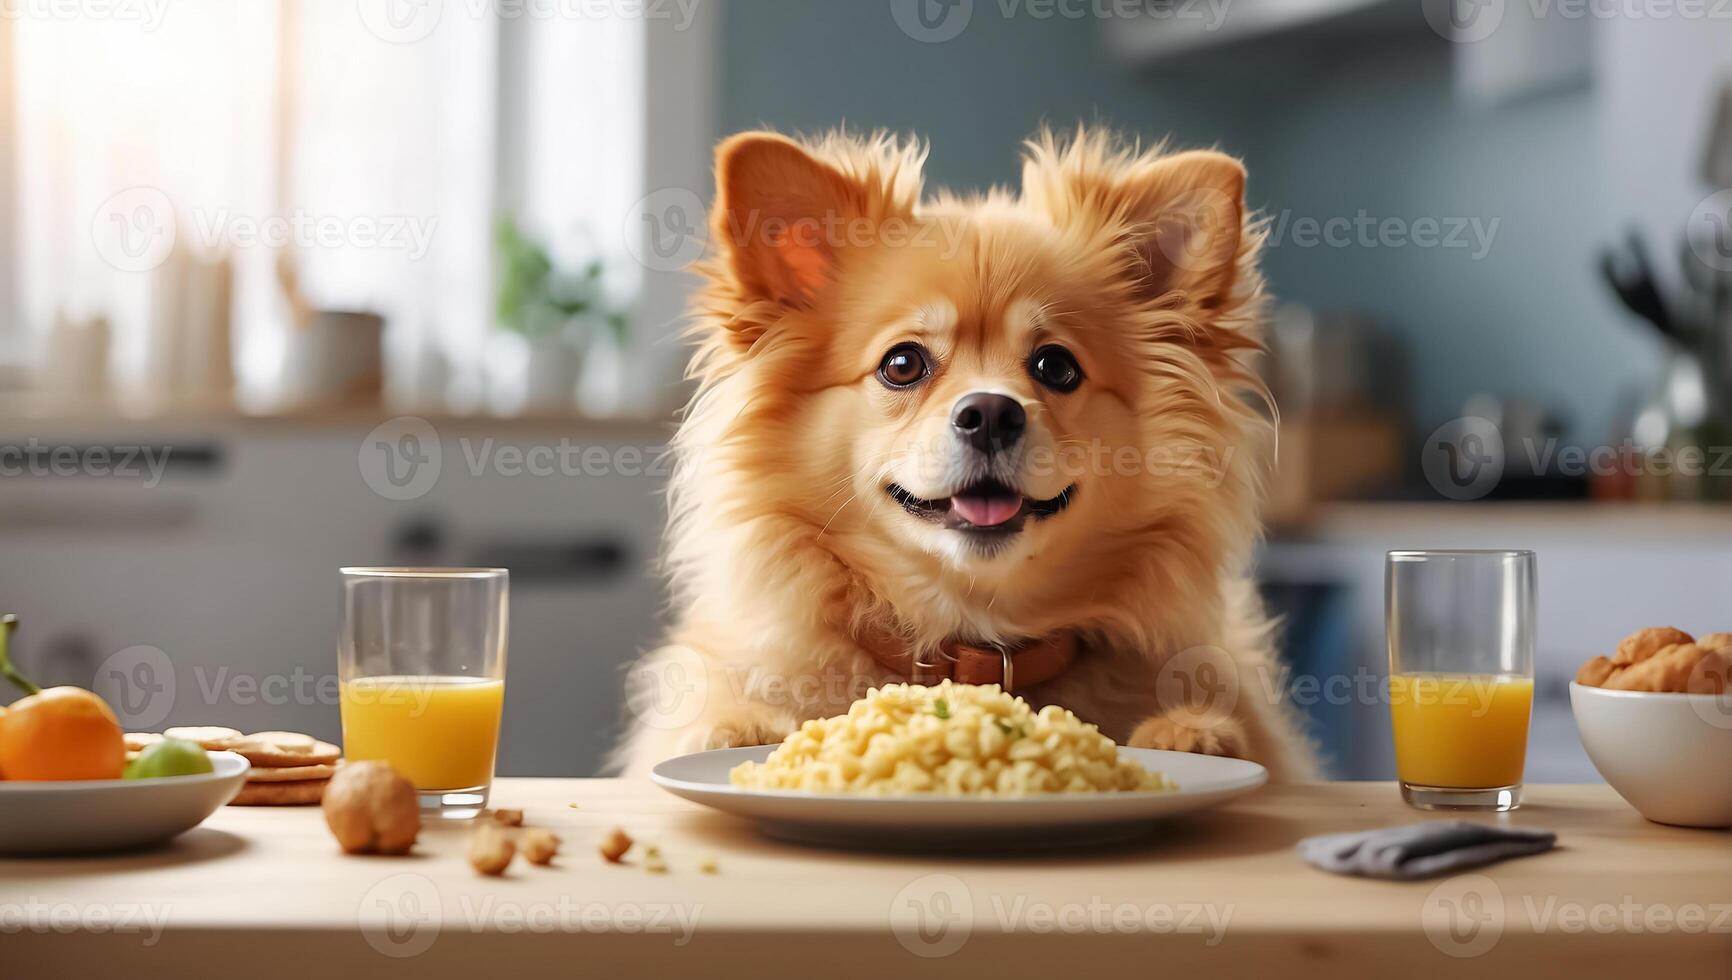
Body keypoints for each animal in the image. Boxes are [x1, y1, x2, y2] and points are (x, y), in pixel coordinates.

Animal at [620, 126, 1309, 782]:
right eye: (902, 364)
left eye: (1056, 367)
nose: (991, 413)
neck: (971, 630)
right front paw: (736, 728)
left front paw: (1190, 733)